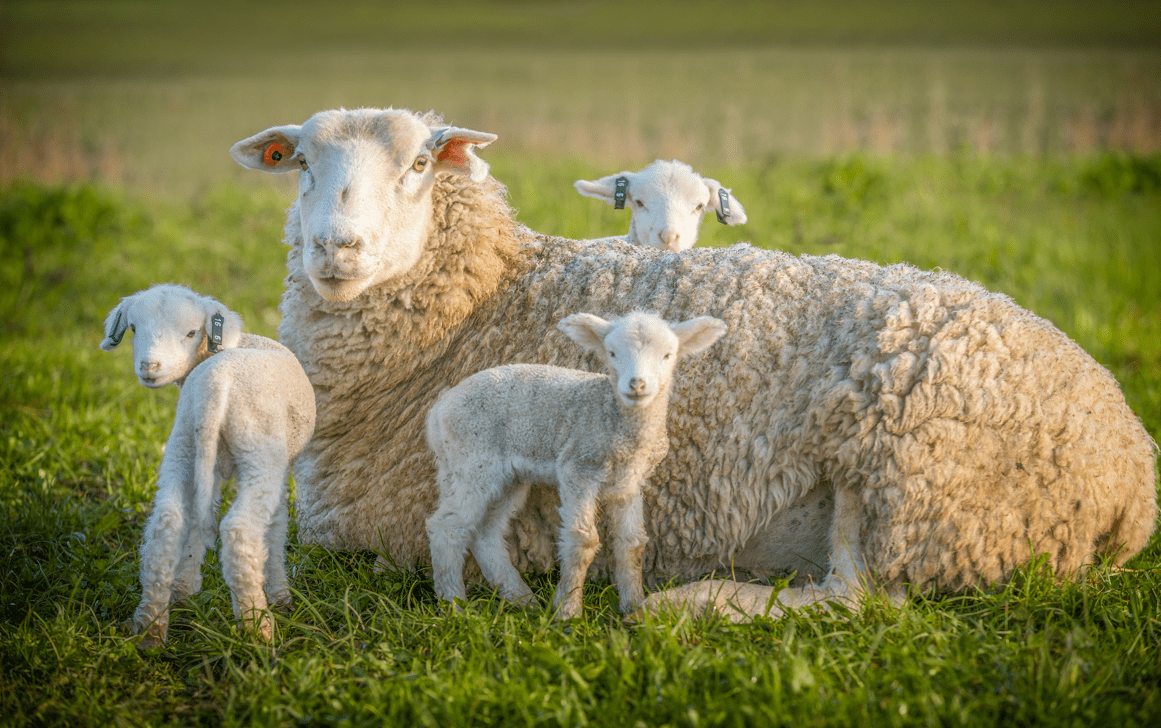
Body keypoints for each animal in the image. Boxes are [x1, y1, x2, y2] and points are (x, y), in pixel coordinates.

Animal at [99, 284, 315, 650]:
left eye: (190, 333)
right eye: (133, 329)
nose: (149, 366)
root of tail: (216, 384)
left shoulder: (206, 462)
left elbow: (201, 518)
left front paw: (185, 587)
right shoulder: (279, 465)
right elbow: (276, 527)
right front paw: (280, 595)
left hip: (184, 443)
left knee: (168, 523)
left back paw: (151, 627)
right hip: (260, 452)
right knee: (240, 531)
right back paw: (258, 629)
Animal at [427, 311, 724, 617]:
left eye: (668, 355)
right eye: (612, 353)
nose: (637, 384)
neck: (616, 421)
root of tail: (437, 412)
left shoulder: (629, 483)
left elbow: (632, 543)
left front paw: (633, 608)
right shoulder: (578, 468)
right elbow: (583, 540)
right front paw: (567, 610)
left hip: (503, 476)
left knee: (486, 534)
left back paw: (523, 600)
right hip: (471, 460)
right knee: (447, 527)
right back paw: (453, 606)